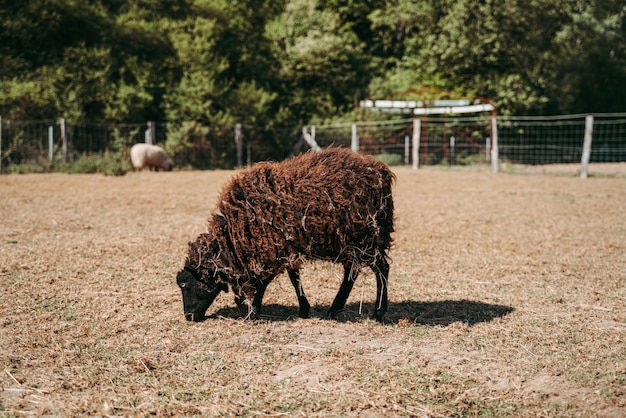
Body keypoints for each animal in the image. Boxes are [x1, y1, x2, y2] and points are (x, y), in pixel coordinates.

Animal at [173, 149, 392, 322]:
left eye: (185, 284)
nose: (188, 316)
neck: (234, 237)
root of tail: (381, 171)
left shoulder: (271, 250)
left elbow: (264, 283)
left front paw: (252, 312)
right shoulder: (286, 247)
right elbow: (294, 277)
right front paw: (303, 309)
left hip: (368, 237)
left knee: (381, 269)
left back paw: (378, 313)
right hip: (351, 242)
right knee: (352, 272)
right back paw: (334, 309)